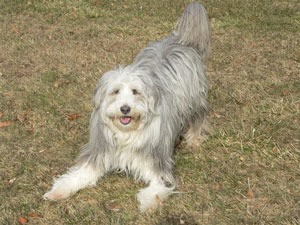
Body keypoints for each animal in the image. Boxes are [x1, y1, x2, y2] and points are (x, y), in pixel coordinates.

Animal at [44, 1, 211, 212]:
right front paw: (58, 191)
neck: (126, 133)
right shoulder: (99, 153)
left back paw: (194, 140)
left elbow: (157, 187)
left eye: (135, 91)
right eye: (115, 91)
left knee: (199, 117)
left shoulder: (157, 163)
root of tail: (180, 40)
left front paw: (148, 203)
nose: (125, 109)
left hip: (195, 101)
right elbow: (79, 174)